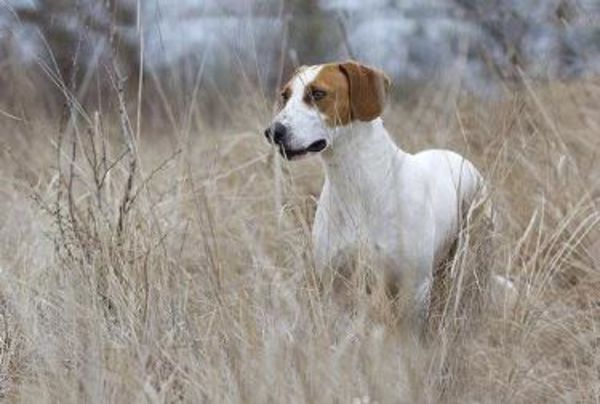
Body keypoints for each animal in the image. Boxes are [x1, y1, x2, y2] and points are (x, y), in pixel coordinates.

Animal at [264, 60, 490, 326]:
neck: (357, 185)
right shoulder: (336, 284)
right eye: (285, 96)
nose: (273, 132)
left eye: (317, 94)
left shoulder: (414, 287)